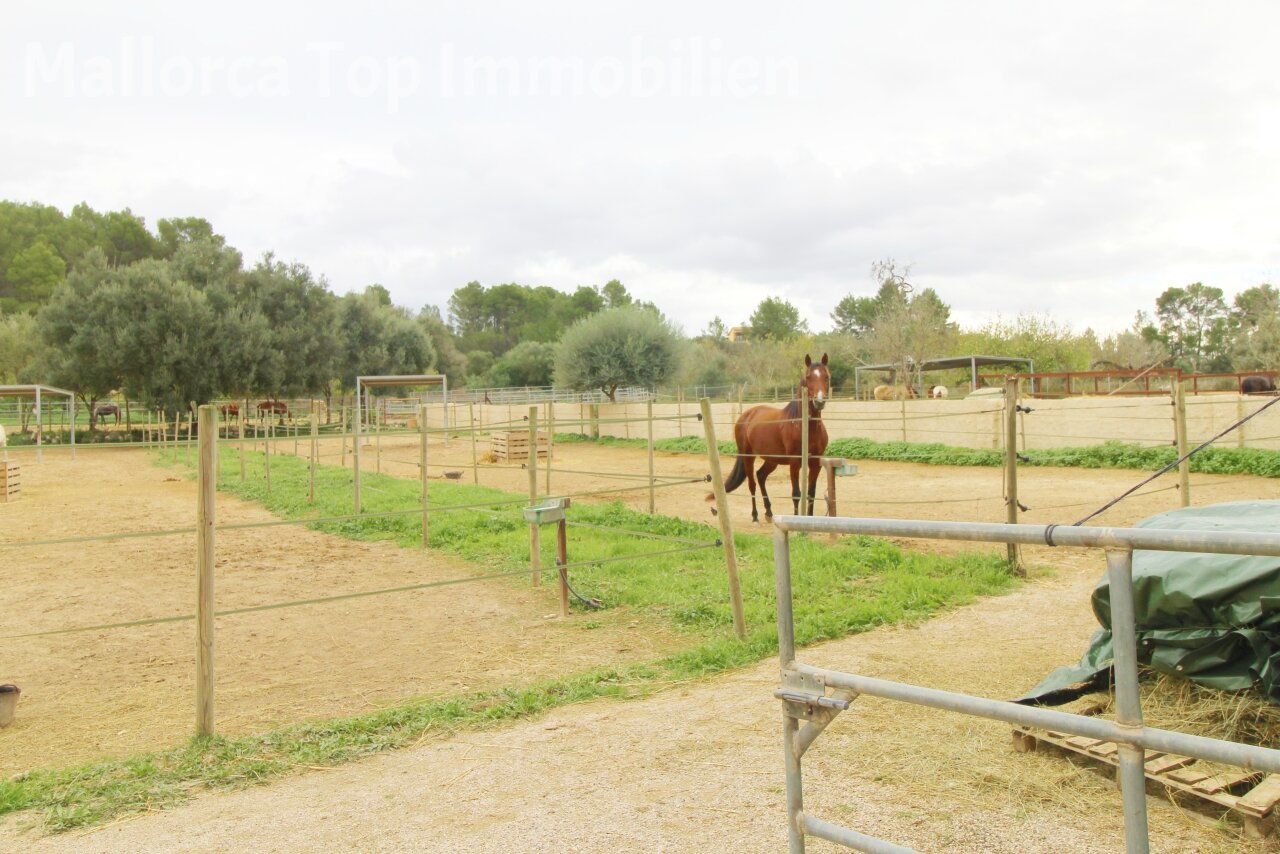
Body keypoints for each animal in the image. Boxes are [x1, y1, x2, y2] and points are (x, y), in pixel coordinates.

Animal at [711, 353, 829, 522]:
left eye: (826, 376)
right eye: (808, 377)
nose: (819, 401)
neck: (804, 425)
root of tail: (746, 415)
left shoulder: (815, 463)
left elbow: (811, 494)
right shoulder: (794, 463)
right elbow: (796, 494)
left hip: (772, 460)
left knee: (760, 476)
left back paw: (769, 512)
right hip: (748, 456)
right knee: (752, 484)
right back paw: (755, 516)